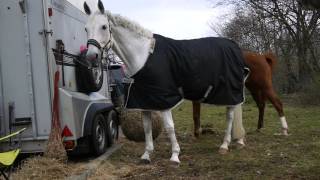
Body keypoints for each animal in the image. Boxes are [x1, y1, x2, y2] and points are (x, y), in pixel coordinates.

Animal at [84, 0, 246, 163]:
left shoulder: (164, 100)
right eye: (86, 29)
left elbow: (169, 127)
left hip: (230, 92)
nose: (91, 56)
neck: (144, 57)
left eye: (104, 26)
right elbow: (147, 128)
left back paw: (224, 146)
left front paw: (175, 156)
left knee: (230, 117)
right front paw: (147, 154)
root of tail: (234, 46)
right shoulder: (145, 101)